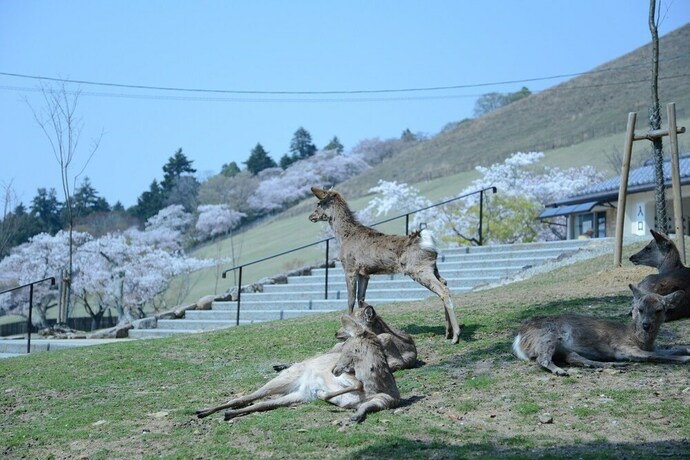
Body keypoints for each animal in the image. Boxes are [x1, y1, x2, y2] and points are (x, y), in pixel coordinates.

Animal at [195, 314, 399, 422]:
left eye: (347, 348)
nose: (333, 369)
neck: (376, 384)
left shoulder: (385, 401)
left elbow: (364, 403)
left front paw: (355, 416)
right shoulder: (347, 377)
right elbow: (356, 383)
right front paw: (324, 393)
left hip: (297, 395)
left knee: (262, 404)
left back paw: (225, 414)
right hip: (283, 380)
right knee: (246, 397)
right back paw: (202, 411)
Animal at [309, 186, 463, 344]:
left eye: (319, 203)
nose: (311, 216)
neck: (343, 237)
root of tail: (429, 242)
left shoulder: (350, 268)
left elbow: (350, 300)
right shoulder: (364, 273)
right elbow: (361, 299)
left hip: (419, 268)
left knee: (442, 289)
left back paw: (456, 335)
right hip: (432, 267)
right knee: (444, 282)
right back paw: (448, 332)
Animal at [512, 284, 690, 376]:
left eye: (659, 310)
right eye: (639, 309)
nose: (646, 325)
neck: (638, 339)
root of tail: (519, 338)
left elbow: (668, 349)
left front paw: (686, 350)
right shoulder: (623, 348)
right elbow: (653, 355)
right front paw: (685, 358)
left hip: (560, 346)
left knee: (574, 357)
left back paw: (615, 365)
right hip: (547, 336)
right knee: (542, 358)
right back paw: (560, 371)